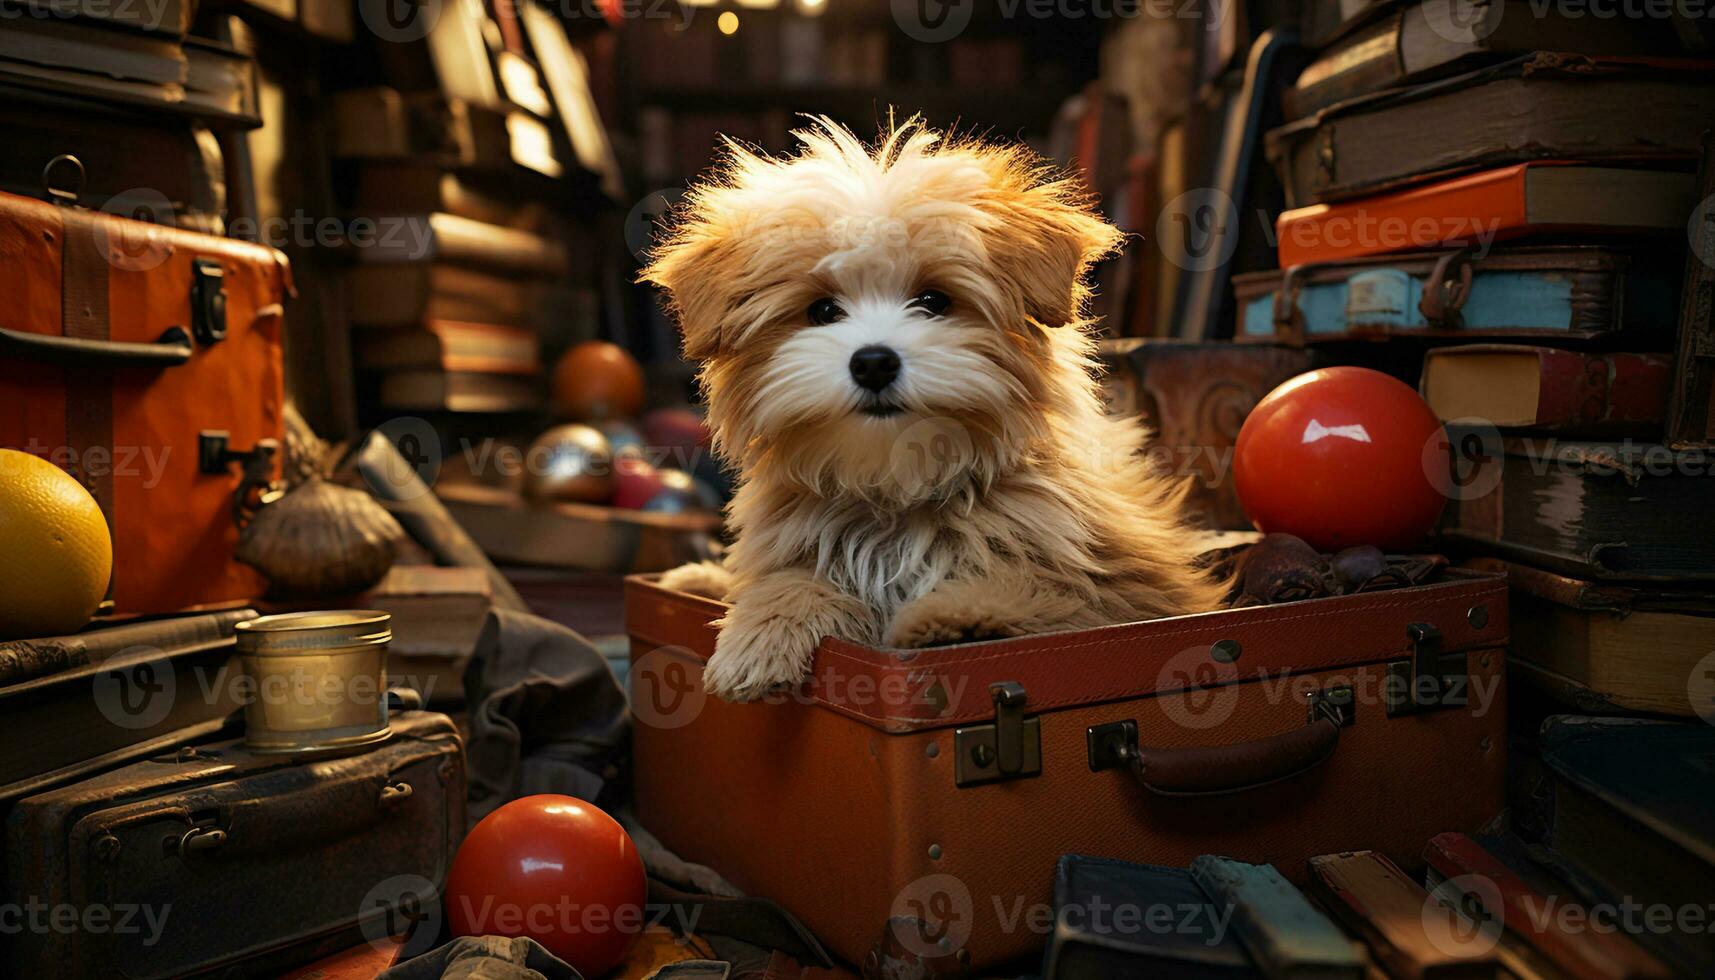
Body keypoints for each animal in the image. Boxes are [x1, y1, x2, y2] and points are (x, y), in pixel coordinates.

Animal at [641, 119, 1221, 700]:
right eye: (822, 311)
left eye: (934, 301)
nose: (873, 362)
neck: (902, 486)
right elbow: (789, 579)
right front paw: (760, 636)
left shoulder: (1135, 592)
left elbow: (1047, 592)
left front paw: (962, 616)